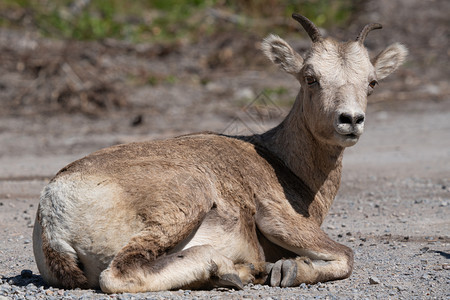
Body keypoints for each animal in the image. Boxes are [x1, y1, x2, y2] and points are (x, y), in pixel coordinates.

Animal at [32, 14, 408, 292]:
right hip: (185, 201)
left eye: (372, 82)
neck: (282, 164)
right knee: (119, 275)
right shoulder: (279, 219)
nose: (351, 120)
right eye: (310, 77)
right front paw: (286, 270)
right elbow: (346, 255)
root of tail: (55, 209)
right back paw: (232, 270)